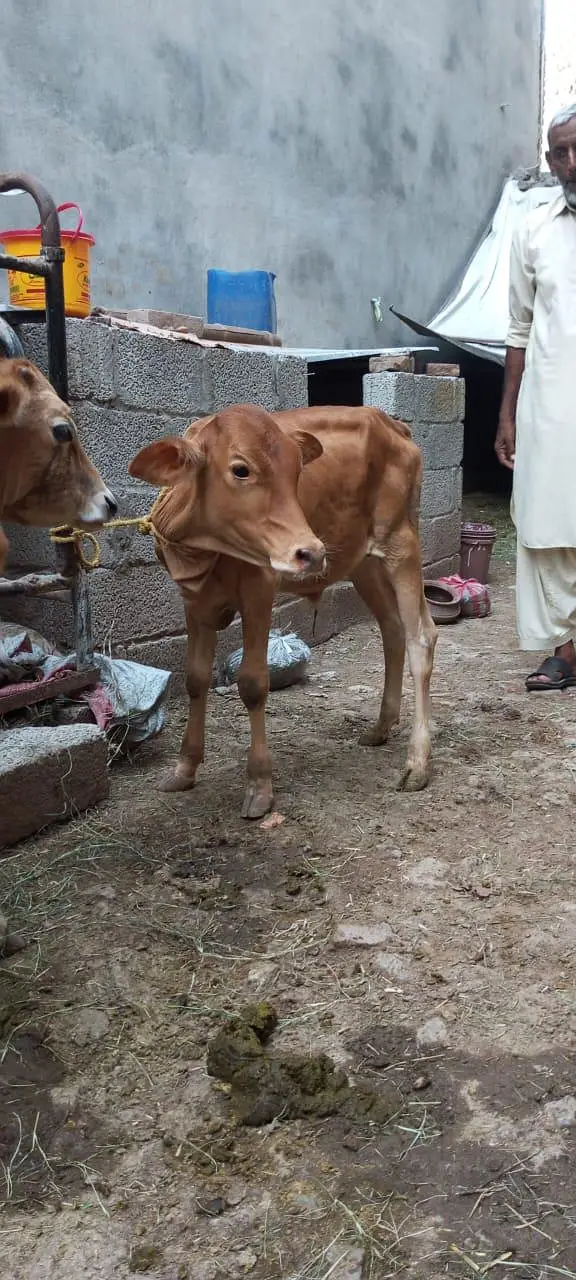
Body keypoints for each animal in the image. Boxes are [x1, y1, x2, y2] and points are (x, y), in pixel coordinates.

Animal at [129, 404, 437, 819]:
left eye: (296, 472)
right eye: (241, 469)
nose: (312, 552)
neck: (201, 550)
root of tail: (392, 424)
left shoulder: (259, 589)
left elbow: (253, 683)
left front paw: (260, 785)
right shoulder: (194, 600)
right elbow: (195, 678)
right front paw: (185, 767)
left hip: (401, 543)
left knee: (421, 636)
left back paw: (416, 763)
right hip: (363, 562)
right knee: (392, 628)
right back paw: (380, 727)